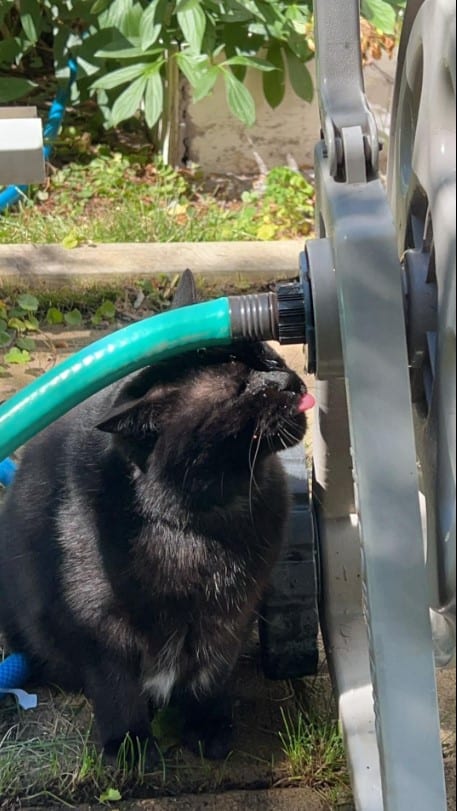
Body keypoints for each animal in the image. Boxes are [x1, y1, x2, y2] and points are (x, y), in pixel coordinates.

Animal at [0, 272, 310, 760]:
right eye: (239, 390)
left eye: (266, 354)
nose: (286, 379)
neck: (203, 528)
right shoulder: (101, 629)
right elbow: (117, 689)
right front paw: (128, 746)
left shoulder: (229, 618)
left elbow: (209, 677)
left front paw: (208, 727)